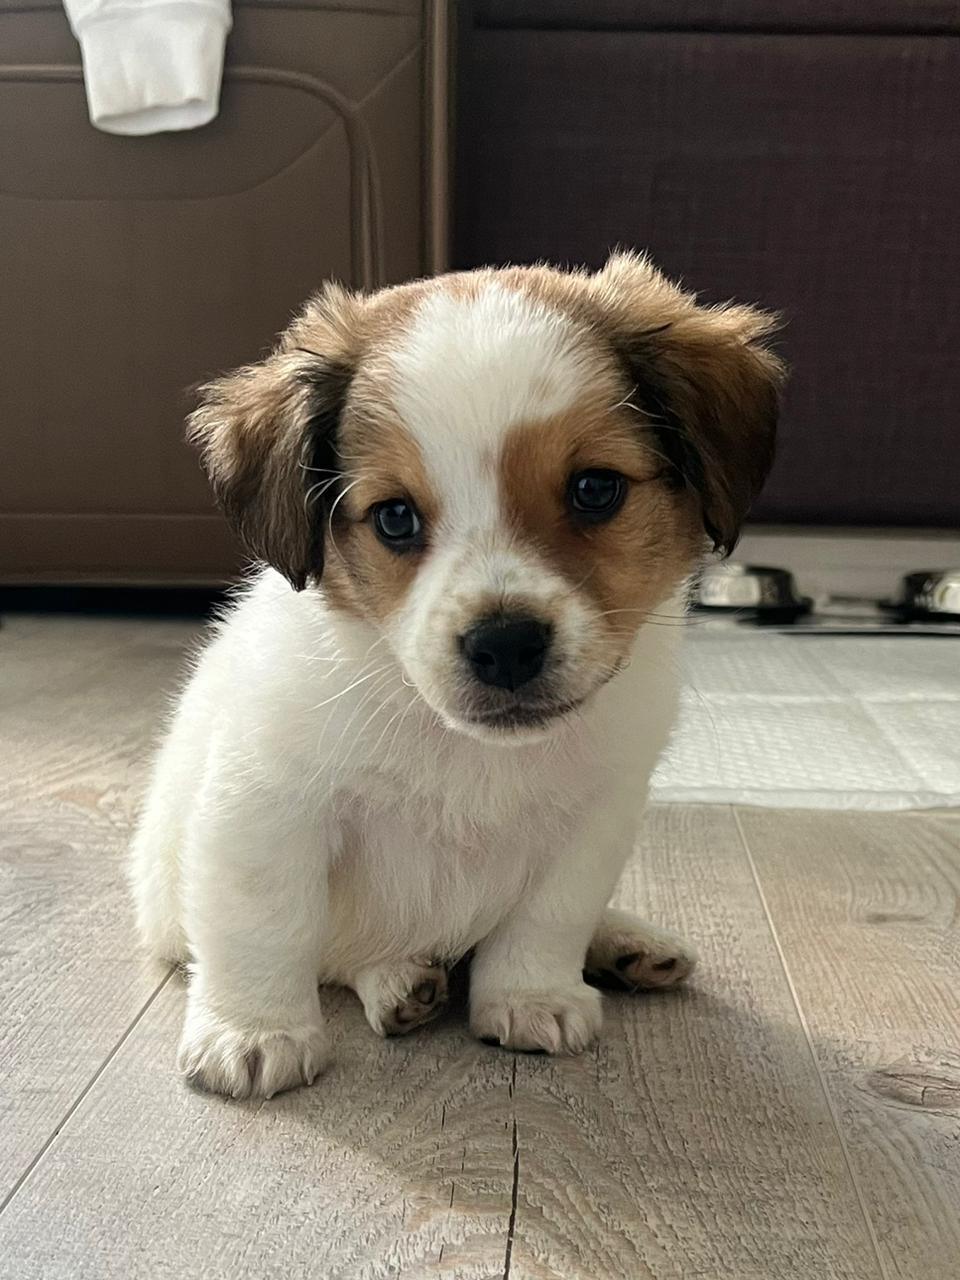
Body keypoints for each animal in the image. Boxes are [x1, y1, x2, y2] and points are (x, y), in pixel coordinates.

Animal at [130, 252, 782, 1099]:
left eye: (595, 488)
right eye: (394, 517)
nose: (505, 645)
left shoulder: (595, 818)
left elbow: (550, 916)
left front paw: (531, 995)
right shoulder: (266, 806)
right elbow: (265, 925)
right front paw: (255, 1028)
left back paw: (624, 942)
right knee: (343, 958)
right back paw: (400, 982)